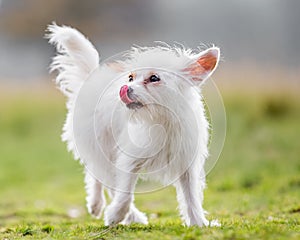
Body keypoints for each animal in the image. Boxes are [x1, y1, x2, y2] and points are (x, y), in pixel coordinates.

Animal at [46, 23, 220, 227]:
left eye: (154, 78)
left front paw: (199, 223)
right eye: (130, 78)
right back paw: (114, 209)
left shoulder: (187, 166)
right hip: (102, 147)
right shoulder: (129, 161)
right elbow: (125, 194)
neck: (161, 120)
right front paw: (116, 215)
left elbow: (191, 197)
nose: (125, 88)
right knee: (101, 176)